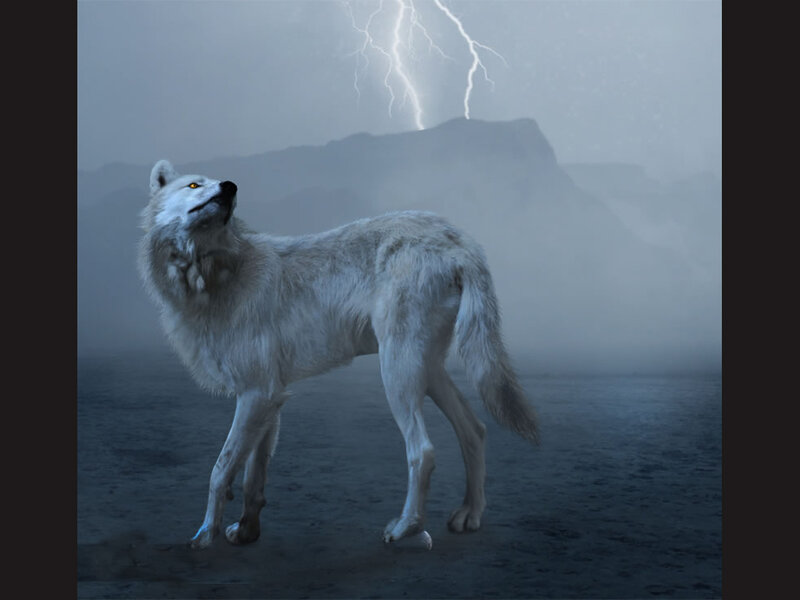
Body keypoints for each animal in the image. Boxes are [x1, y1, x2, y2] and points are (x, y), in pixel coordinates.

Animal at [138, 159, 538, 550]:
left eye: (218, 186)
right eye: (194, 185)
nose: (231, 186)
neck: (216, 273)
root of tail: (458, 239)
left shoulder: (256, 394)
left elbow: (220, 470)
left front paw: (206, 535)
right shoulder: (270, 397)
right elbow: (254, 475)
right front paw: (248, 531)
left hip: (397, 374)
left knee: (423, 451)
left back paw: (405, 527)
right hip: (426, 371)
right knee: (475, 429)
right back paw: (469, 515)